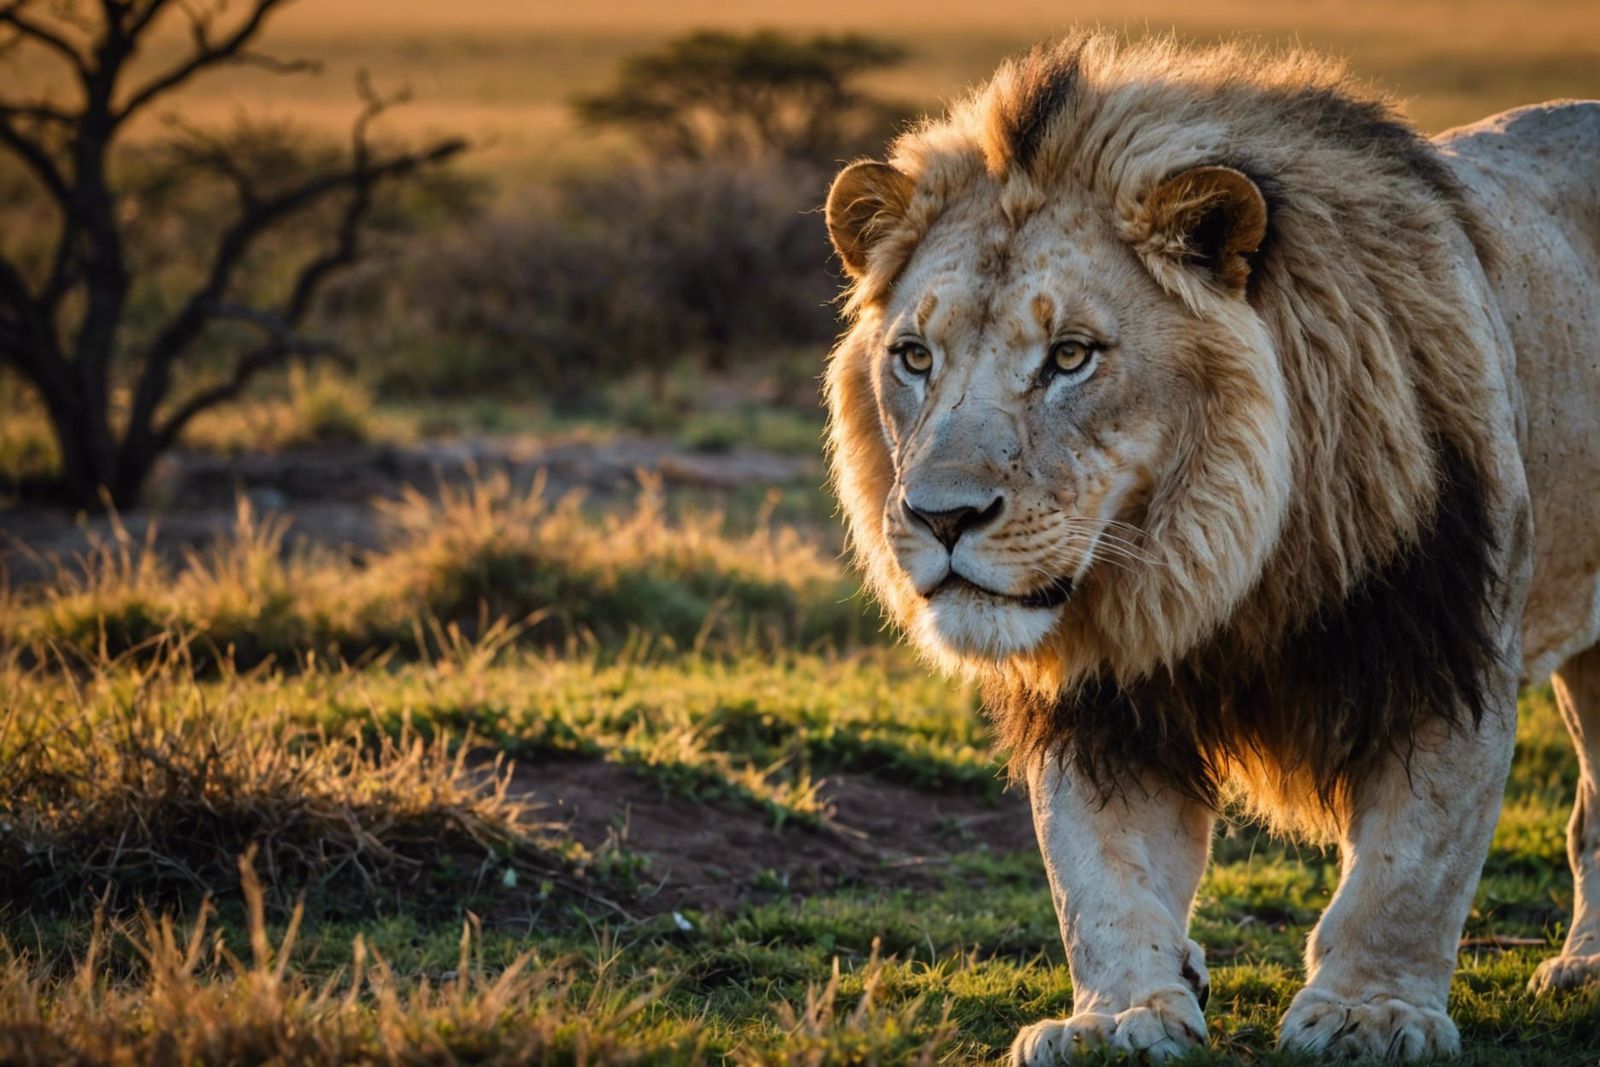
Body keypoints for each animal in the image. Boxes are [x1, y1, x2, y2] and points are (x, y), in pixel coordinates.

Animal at [821, 32, 1600, 1062]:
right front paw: (1119, 1016)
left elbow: (1414, 862)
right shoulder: (1098, 698)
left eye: (1071, 355)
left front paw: (1370, 1010)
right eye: (915, 356)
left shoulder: (1448, 647)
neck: (1216, 563)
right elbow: (1098, 871)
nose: (942, 517)